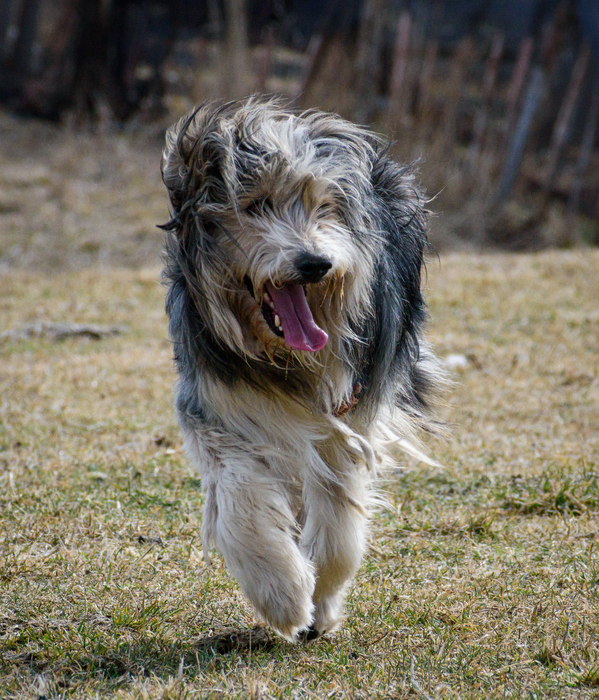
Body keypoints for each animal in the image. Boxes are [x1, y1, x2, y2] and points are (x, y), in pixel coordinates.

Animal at [159, 98, 440, 640]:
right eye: (254, 206)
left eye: (324, 206)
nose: (315, 264)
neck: (285, 359)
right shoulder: (219, 405)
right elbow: (242, 497)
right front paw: (282, 594)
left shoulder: (346, 415)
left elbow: (337, 518)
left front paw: (322, 595)